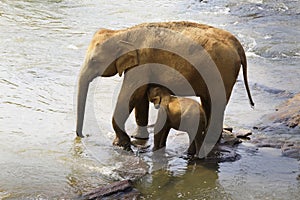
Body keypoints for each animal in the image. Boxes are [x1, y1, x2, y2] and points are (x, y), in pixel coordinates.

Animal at [76, 21, 254, 152]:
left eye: (94, 61)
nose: (82, 136)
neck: (123, 32)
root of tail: (236, 43)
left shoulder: (142, 63)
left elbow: (131, 94)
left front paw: (121, 144)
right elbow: (140, 96)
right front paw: (138, 138)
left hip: (222, 72)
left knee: (216, 103)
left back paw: (210, 142)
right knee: (209, 102)